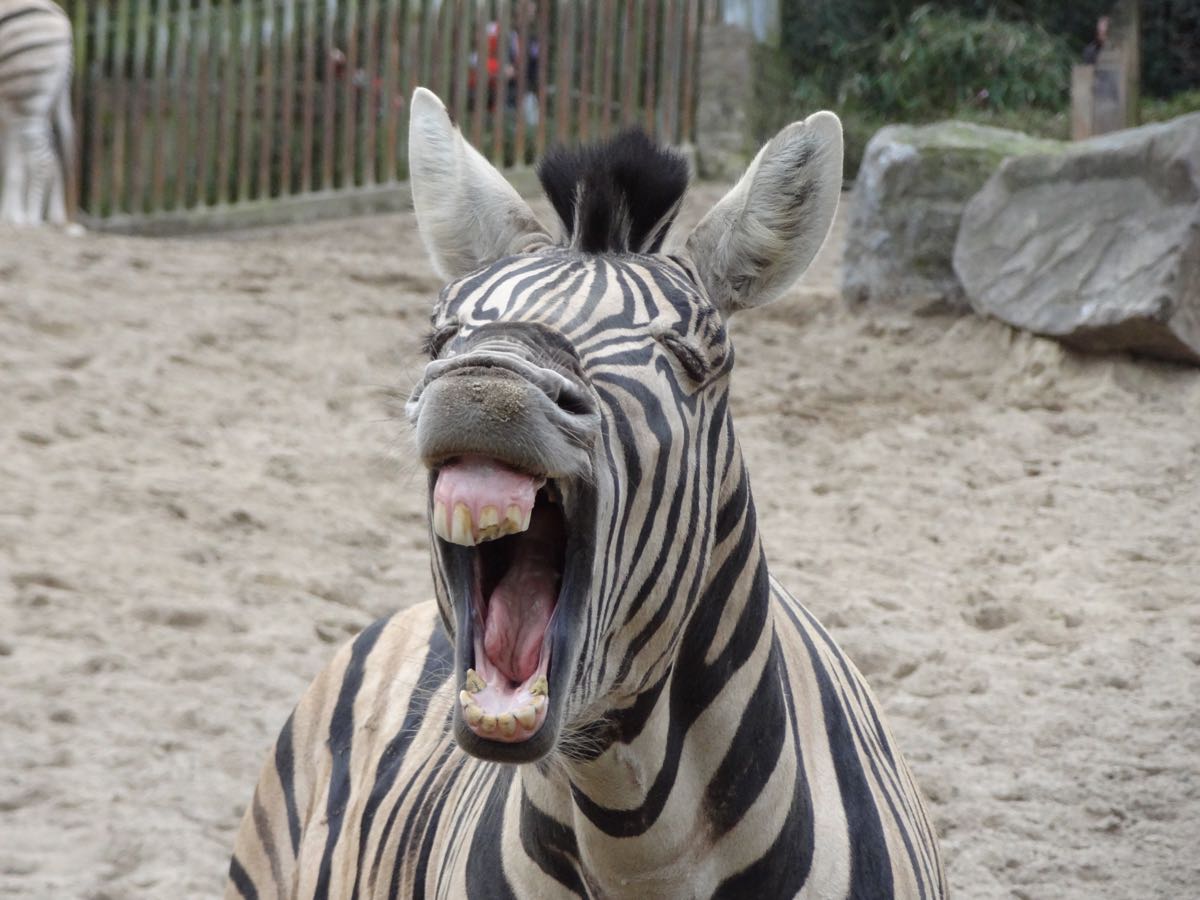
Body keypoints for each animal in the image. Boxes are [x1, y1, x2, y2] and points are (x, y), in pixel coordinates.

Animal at [0, 0, 73, 225]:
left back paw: (32, 218)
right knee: (52, 153)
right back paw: (53, 215)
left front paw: (14, 215)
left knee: (43, 159)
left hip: (27, 100)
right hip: (37, 105)